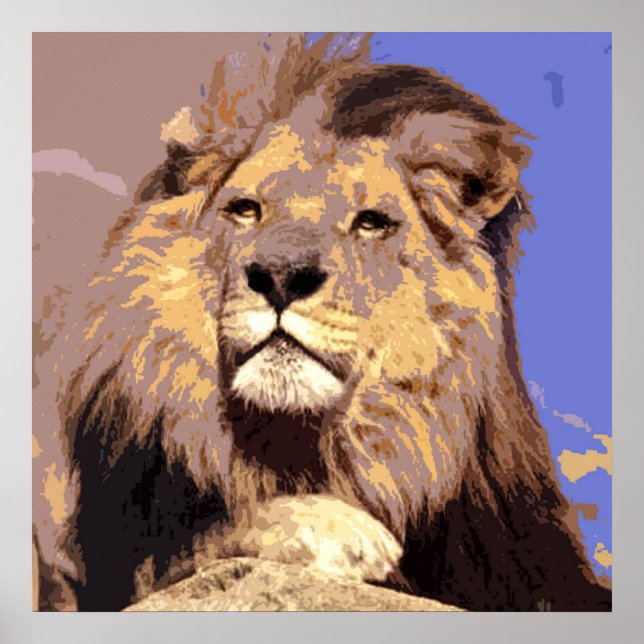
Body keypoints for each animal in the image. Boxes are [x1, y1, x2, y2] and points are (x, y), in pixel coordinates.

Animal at [33, 33, 611, 611]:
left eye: (372, 223)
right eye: (246, 210)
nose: (281, 277)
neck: (302, 445)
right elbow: (212, 535)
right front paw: (332, 527)